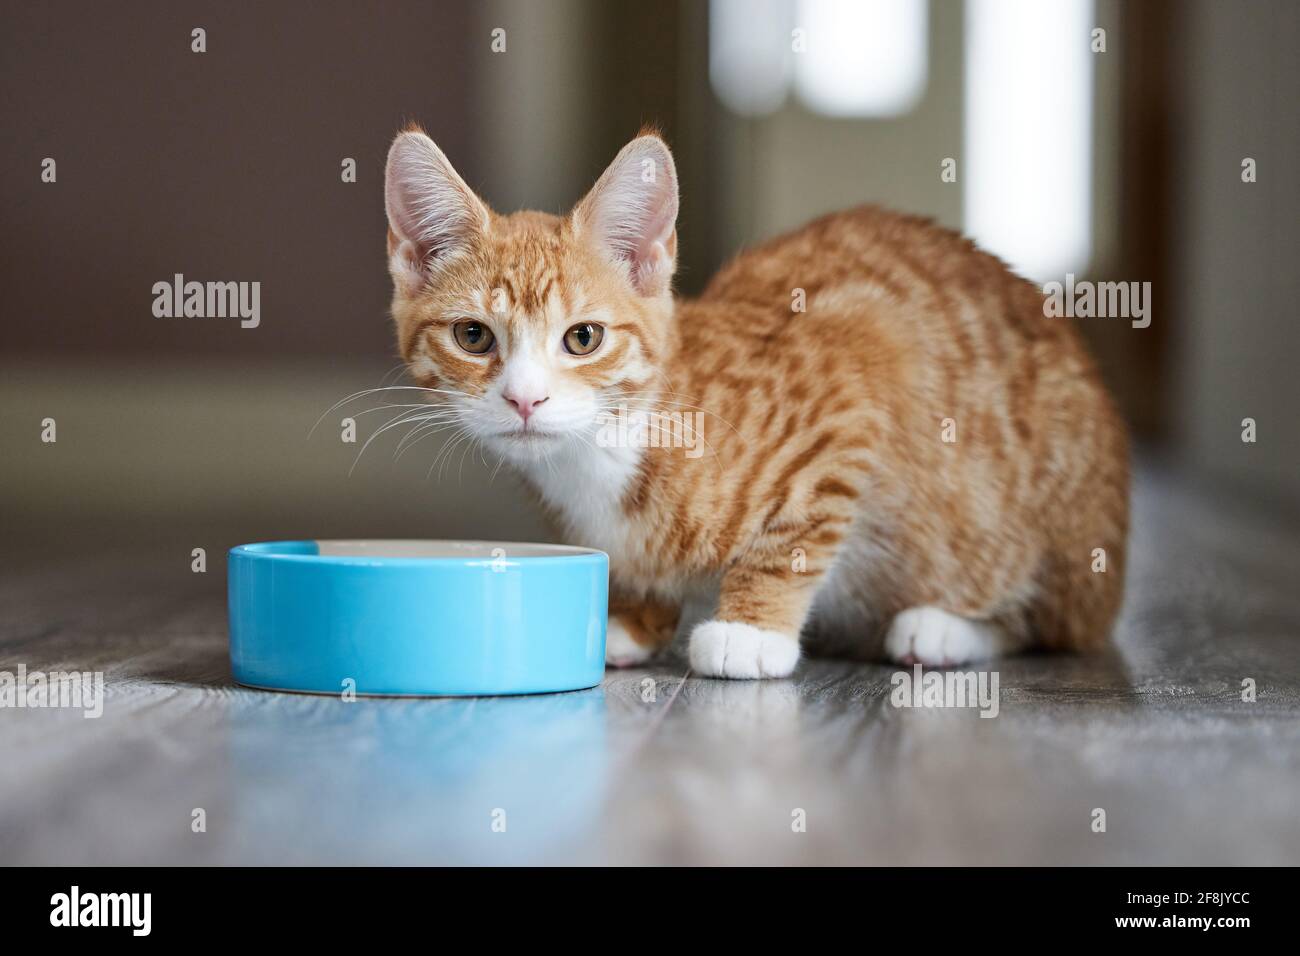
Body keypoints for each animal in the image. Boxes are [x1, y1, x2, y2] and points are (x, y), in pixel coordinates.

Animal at [382, 127, 1128, 681]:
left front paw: (750, 627)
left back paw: (941, 628)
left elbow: (794, 533)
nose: (525, 399)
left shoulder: (861, 358)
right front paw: (633, 616)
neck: (609, 449)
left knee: (1051, 624)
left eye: (583, 338)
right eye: (473, 336)